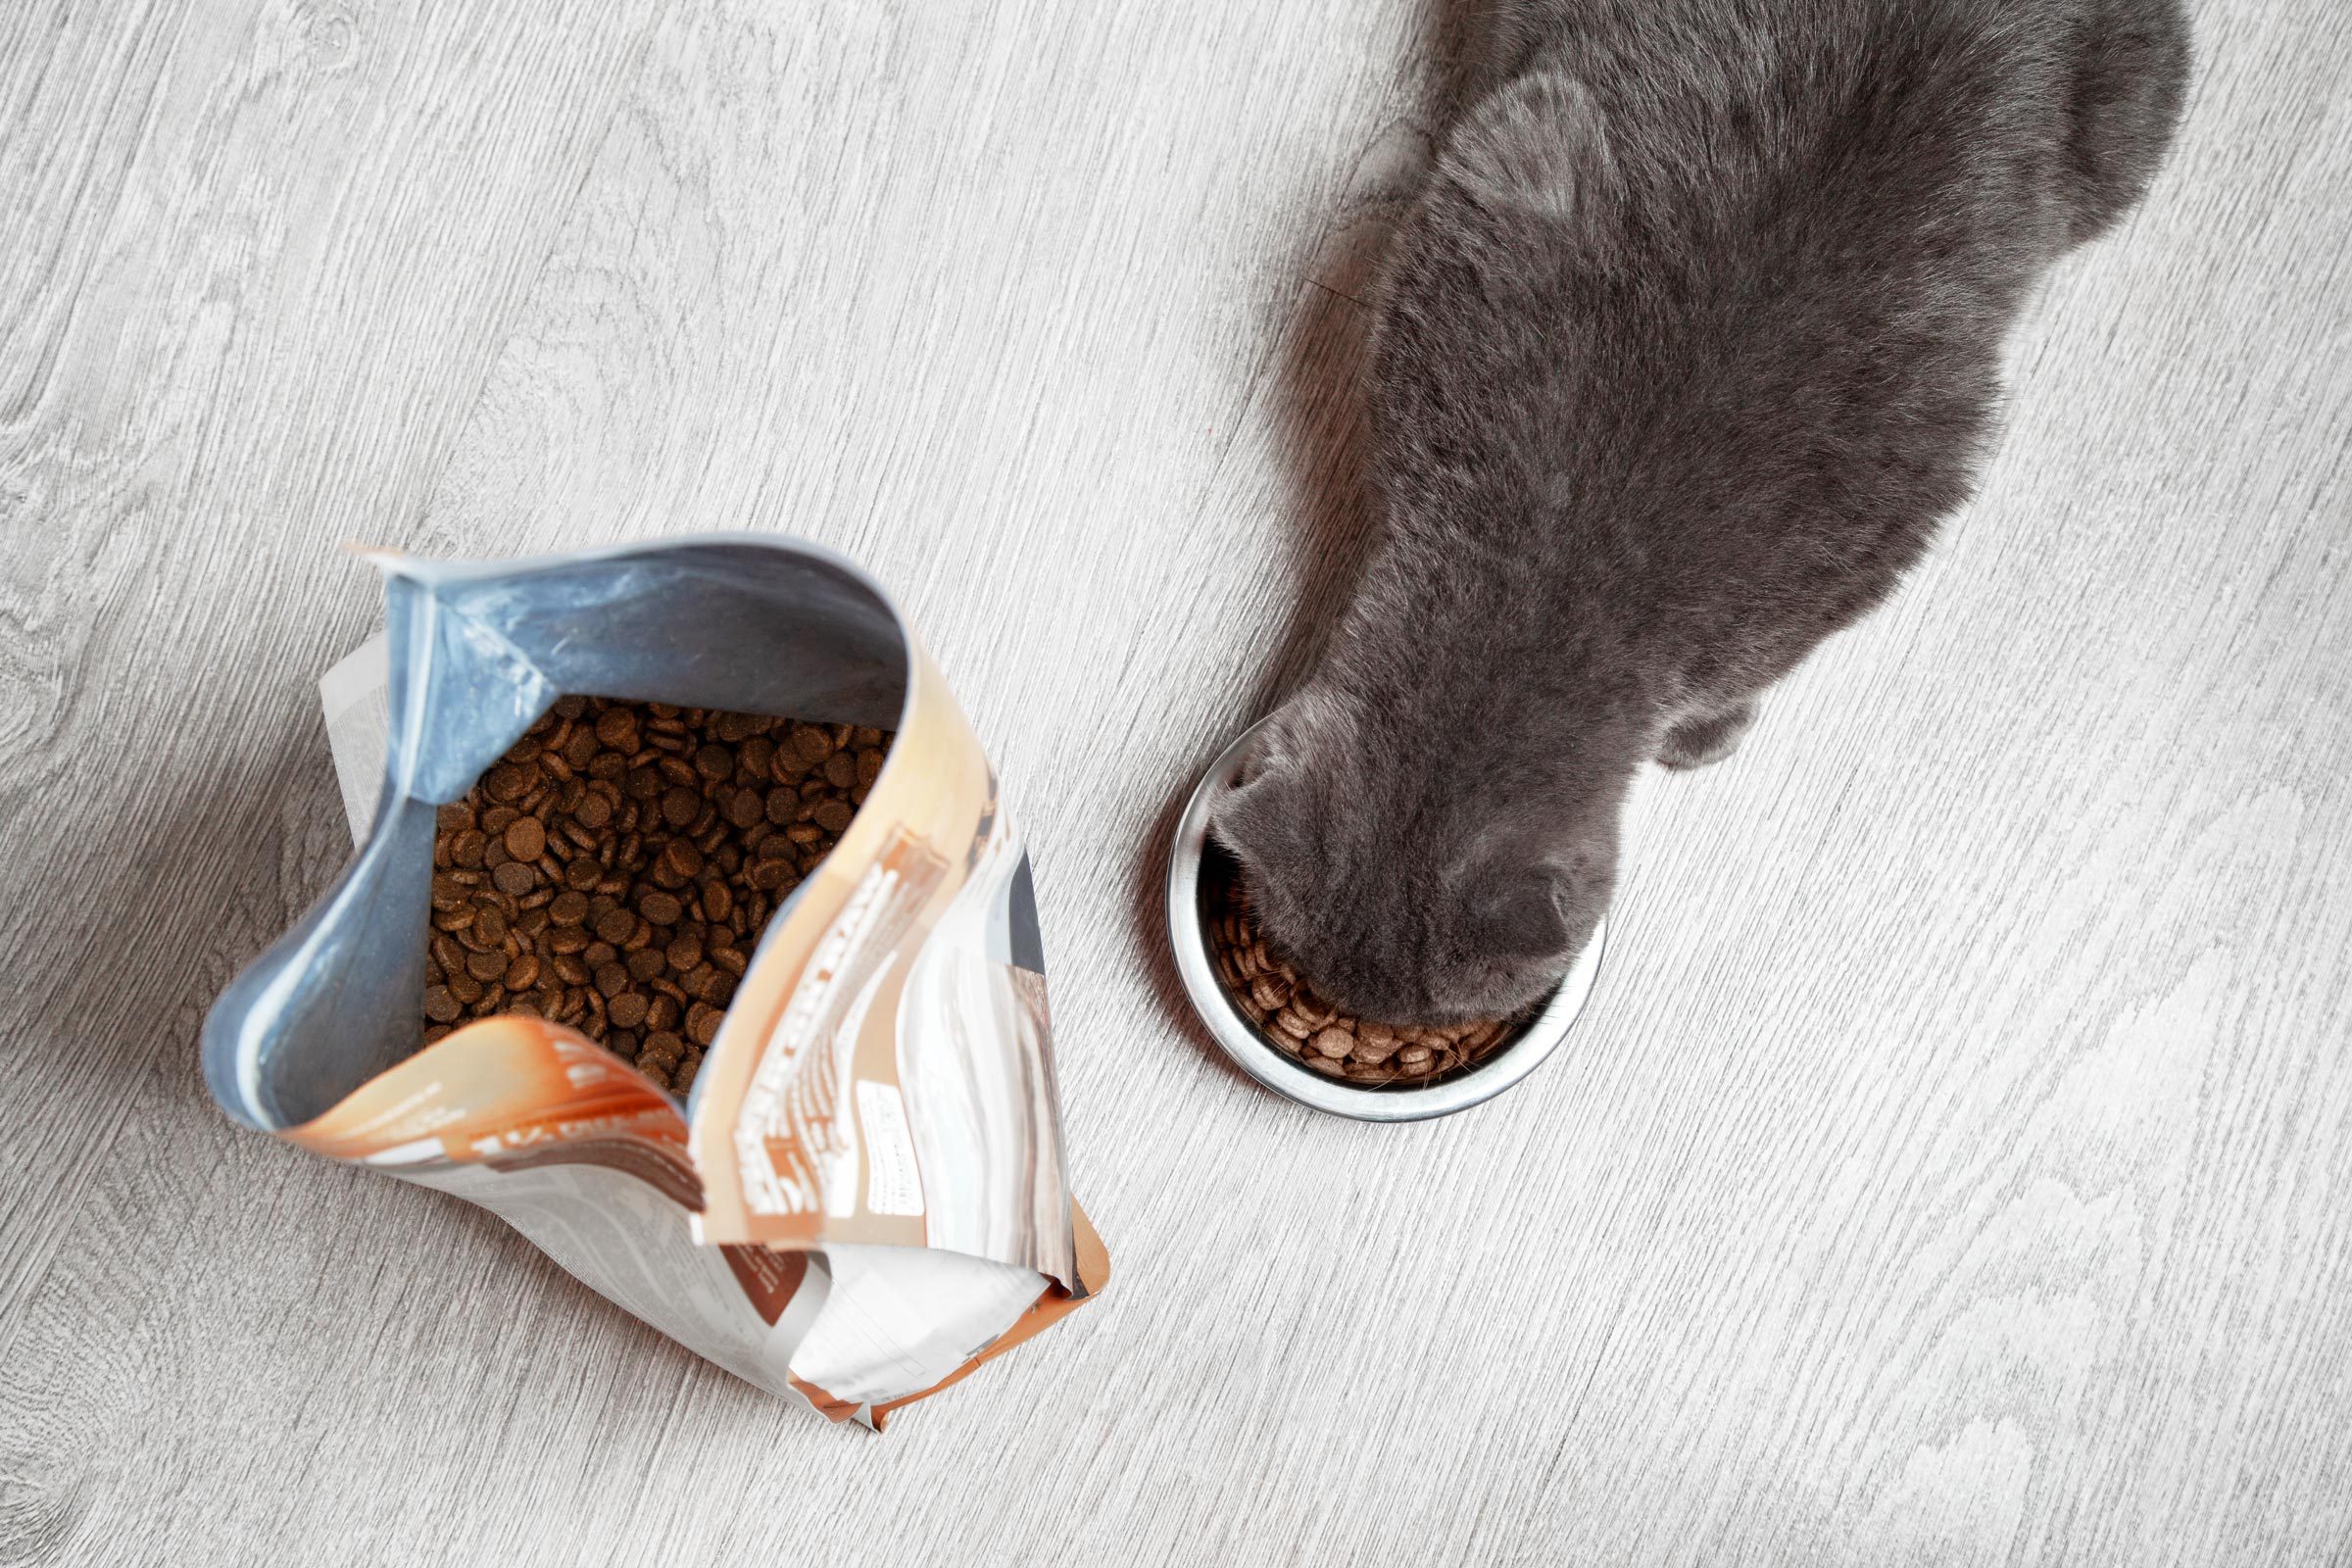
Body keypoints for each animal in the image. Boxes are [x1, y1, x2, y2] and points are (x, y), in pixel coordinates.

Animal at [1213, 0, 2182, 1024]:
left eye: (1446, 1018)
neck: (1564, 576)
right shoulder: (1506, 172)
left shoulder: (1897, 497)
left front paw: (1703, 735)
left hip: (2124, 128)